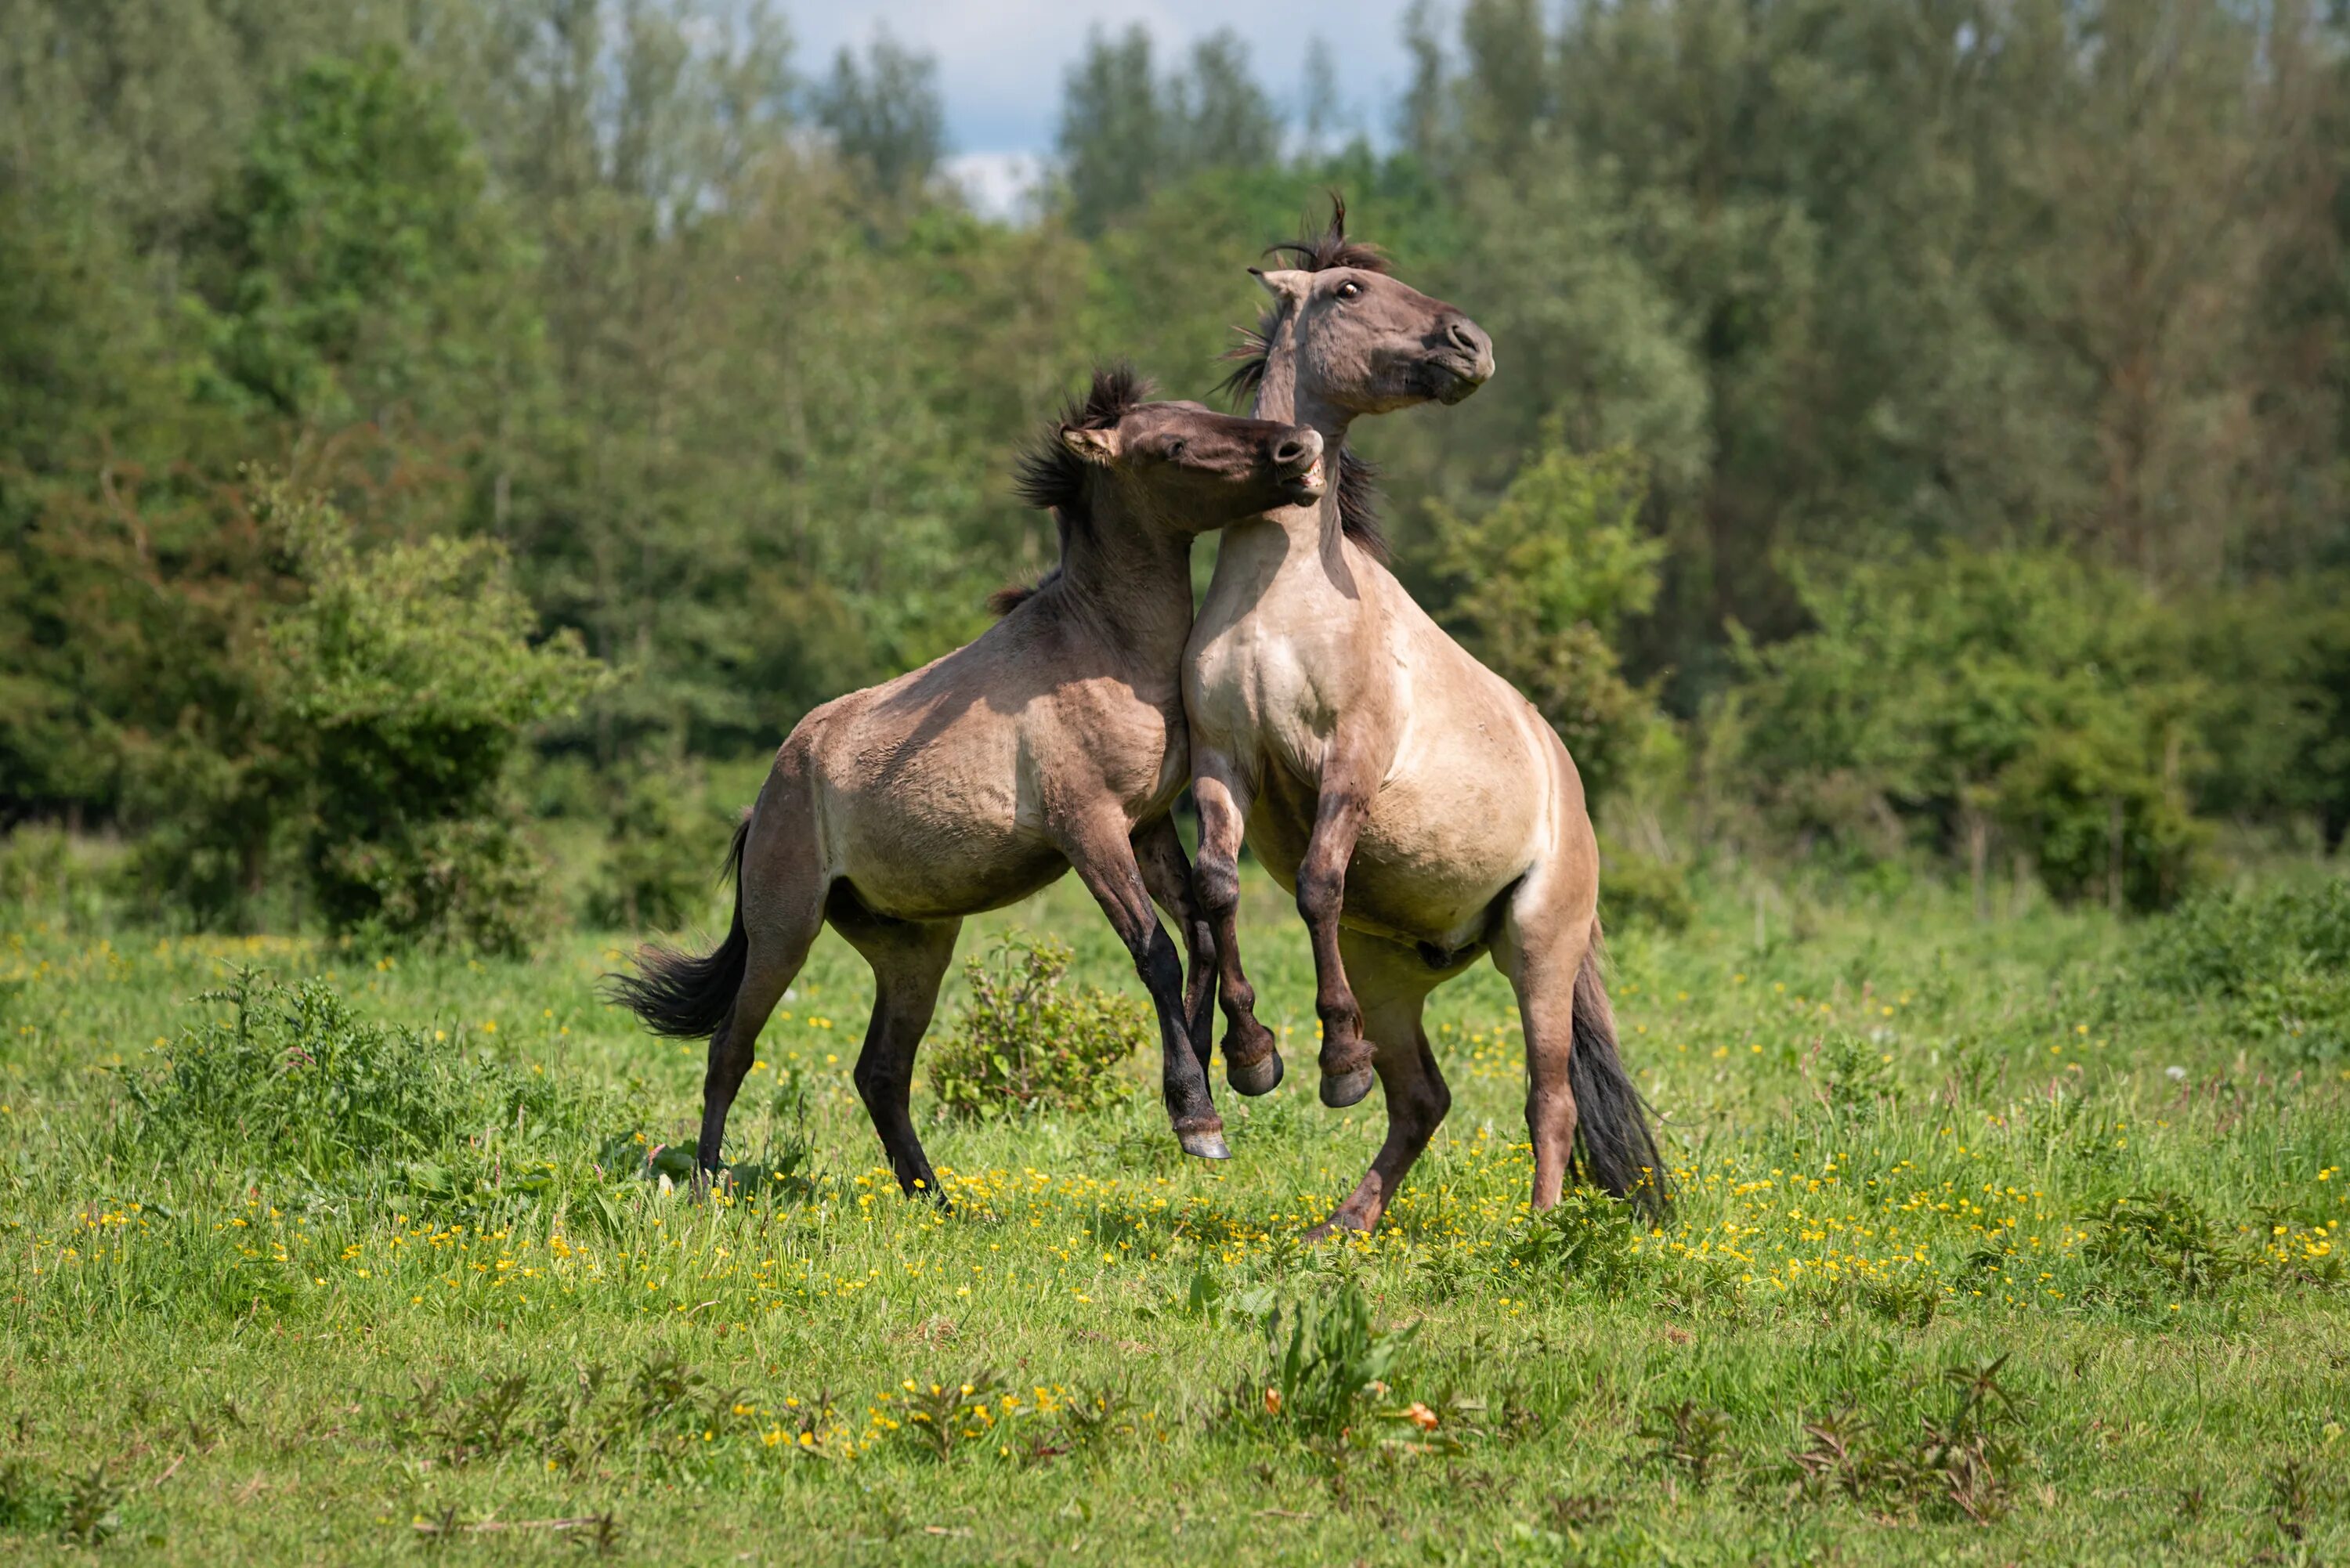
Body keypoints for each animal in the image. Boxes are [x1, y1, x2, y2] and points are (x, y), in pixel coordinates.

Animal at [616, 374, 1335, 1194]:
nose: (1298, 448)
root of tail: (766, 797)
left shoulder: (1149, 825)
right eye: (1172, 444)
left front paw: (1246, 1064)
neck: (1105, 651)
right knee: (731, 1047)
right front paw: (1197, 1119)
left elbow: (1203, 935)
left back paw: (935, 1197)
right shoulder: (1090, 831)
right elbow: (1157, 953)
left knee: (880, 1073)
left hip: (915, 950)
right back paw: (709, 1183)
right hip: (783, 932)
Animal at [1184, 208, 1664, 1241]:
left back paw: (1536, 1230)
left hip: (1539, 951)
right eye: (1349, 291)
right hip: (1393, 971)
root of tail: (1568, 787)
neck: (1284, 599)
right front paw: (1253, 1057)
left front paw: (1334, 1062)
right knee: (1423, 1101)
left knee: (1550, 1098)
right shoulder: (1221, 761)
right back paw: (1341, 1226)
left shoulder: (1351, 762)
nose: (1471, 344)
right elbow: (1215, 889)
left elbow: (1318, 883)